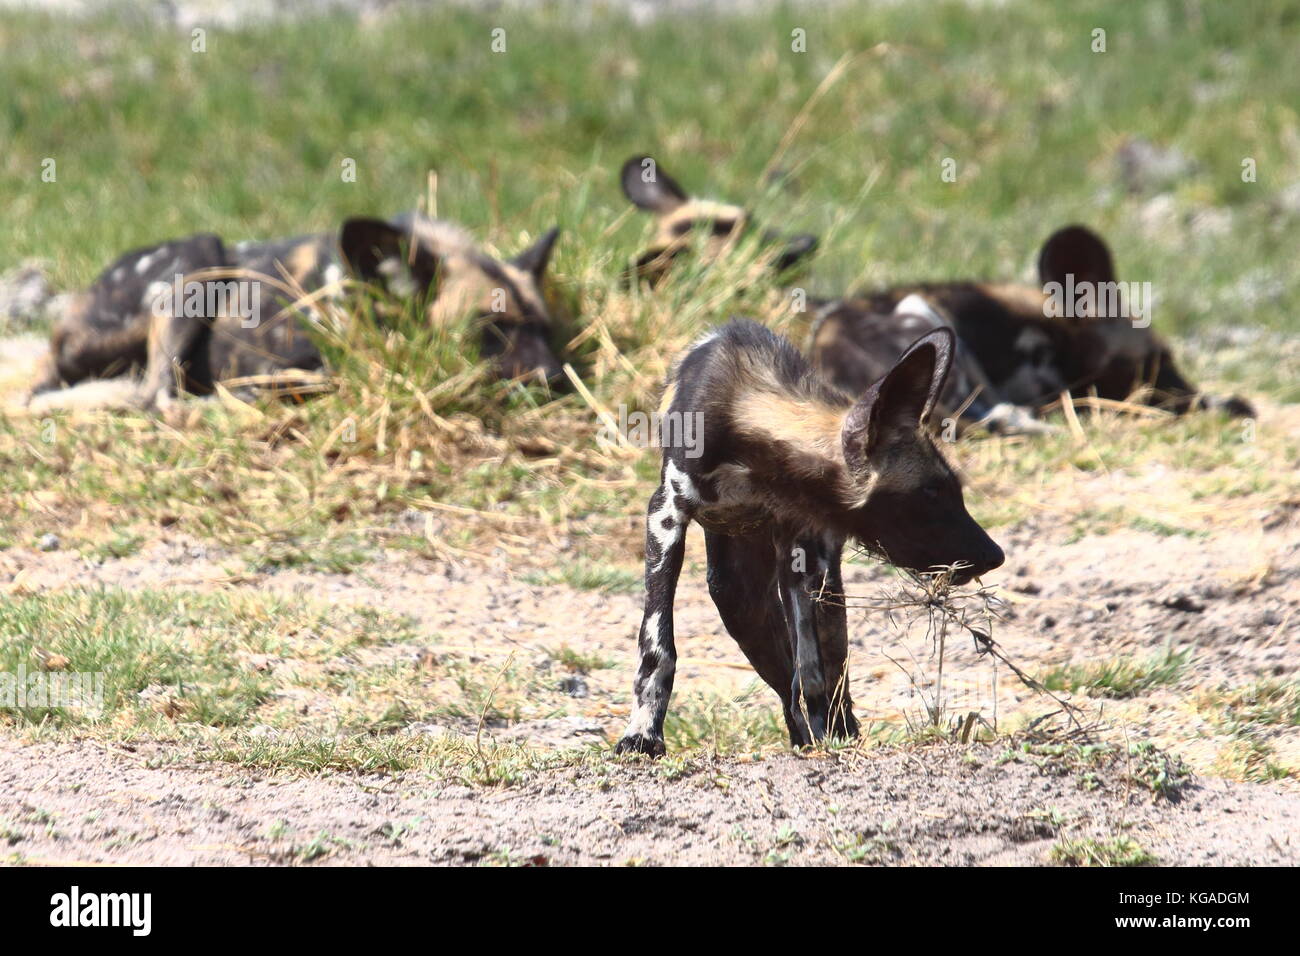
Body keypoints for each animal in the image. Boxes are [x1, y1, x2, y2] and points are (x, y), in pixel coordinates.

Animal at [613, 321, 998, 754]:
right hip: (737, 598)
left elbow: (811, 668)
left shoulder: (801, 546)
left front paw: (823, 734)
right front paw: (642, 735)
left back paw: (833, 730)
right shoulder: (666, 516)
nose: (994, 555)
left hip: (807, 588)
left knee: (828, 667)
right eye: (932, 492)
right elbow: (657, 646)